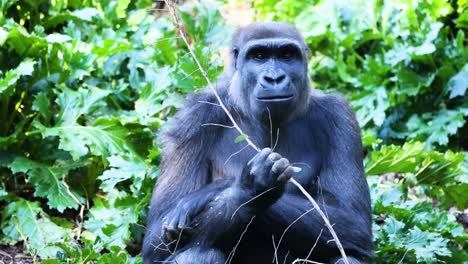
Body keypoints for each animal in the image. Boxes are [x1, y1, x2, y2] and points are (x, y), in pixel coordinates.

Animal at [143, 21, 372, 262]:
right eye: (259, 56)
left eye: (286, 55)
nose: (274, 78)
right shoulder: (192, 118)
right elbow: (156, 240)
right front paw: (250, 190)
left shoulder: (339, 116)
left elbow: (351, 220)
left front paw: (206, 194)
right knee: (197, 253)